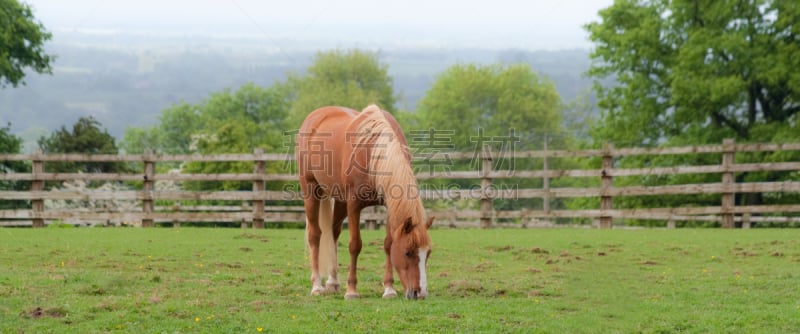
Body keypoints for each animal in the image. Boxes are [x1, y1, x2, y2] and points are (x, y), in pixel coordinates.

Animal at [296, 105, 432, 300]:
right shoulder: (354, 205)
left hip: (339, 199)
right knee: (315, 235)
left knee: (333, 234)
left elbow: (388, 244)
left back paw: (333, 282)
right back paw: (317, 286)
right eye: (408, 252)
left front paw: (389, 289)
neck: (373, 152)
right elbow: (355, 245)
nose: (419, 293)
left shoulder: (389, 205)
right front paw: (352, 290)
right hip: (311, 190)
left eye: (428, 253)